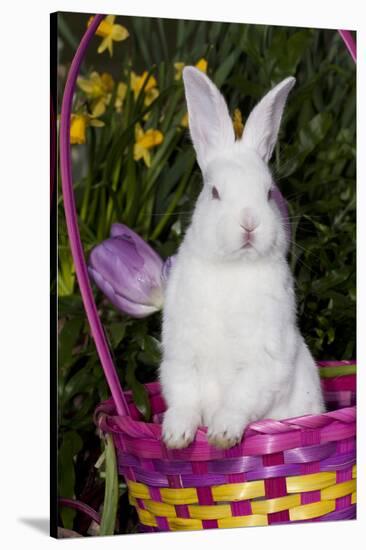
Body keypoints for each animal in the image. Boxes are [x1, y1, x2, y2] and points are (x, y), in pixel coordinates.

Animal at [159, 67, 324, 450]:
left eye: (268, 193)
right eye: (215, 192)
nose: (249, 222)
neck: (233, 268)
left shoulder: (264, 359)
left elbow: (240, 399)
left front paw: (221, 435)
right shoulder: (181, 355)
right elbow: (183, 397)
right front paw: (175, 437)